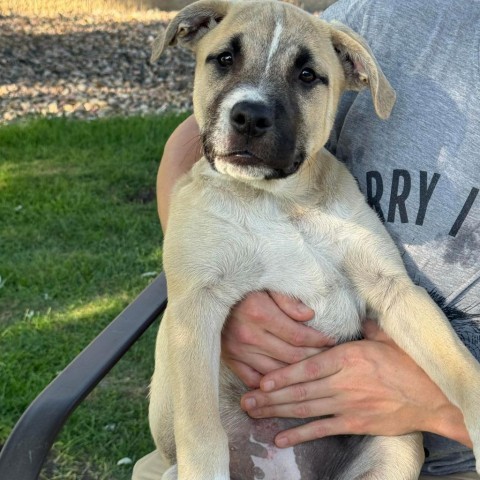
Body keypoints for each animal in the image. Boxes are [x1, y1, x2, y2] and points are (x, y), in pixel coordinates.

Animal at [149, 1, 480, 478]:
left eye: (308, 75)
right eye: (224, 59)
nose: (250, 116)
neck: (280, 201)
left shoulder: (394, 288)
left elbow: (459, 365)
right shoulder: (194, 307)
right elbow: (201, 431)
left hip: (397, 449)